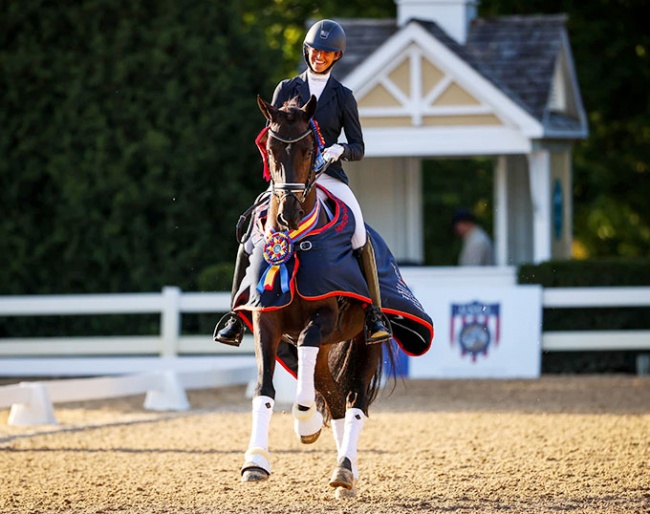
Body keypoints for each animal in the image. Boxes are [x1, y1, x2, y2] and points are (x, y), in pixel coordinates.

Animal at [239, 94, 388, 494]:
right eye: (270, 148)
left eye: (309, 149)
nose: (288, 215)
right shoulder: (266, 320)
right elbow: (264, 388)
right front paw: (255, 461)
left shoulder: (325, 317)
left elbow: (307, 346)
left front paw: (303, 416)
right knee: (333, 397)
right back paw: (340, 465)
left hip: (366, 343)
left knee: (353, 400)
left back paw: (344, 468)